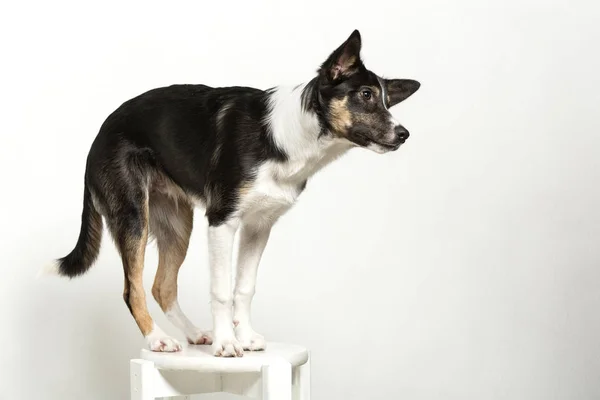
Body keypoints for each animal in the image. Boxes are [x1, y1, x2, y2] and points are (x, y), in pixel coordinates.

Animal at [44, 29, 420, 358]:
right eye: (365, 95)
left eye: (386, 100)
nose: (404, 134)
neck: (290, 134)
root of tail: (100, 134)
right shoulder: (222, 222)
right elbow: (223, 291)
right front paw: (226, 343)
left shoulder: (259, 227)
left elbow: (244, 287)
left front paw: (245, 336)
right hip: (135, 217)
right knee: (132, 289)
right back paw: (158, 339)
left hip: (177, 225)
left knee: (162, 286)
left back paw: (194, 333)